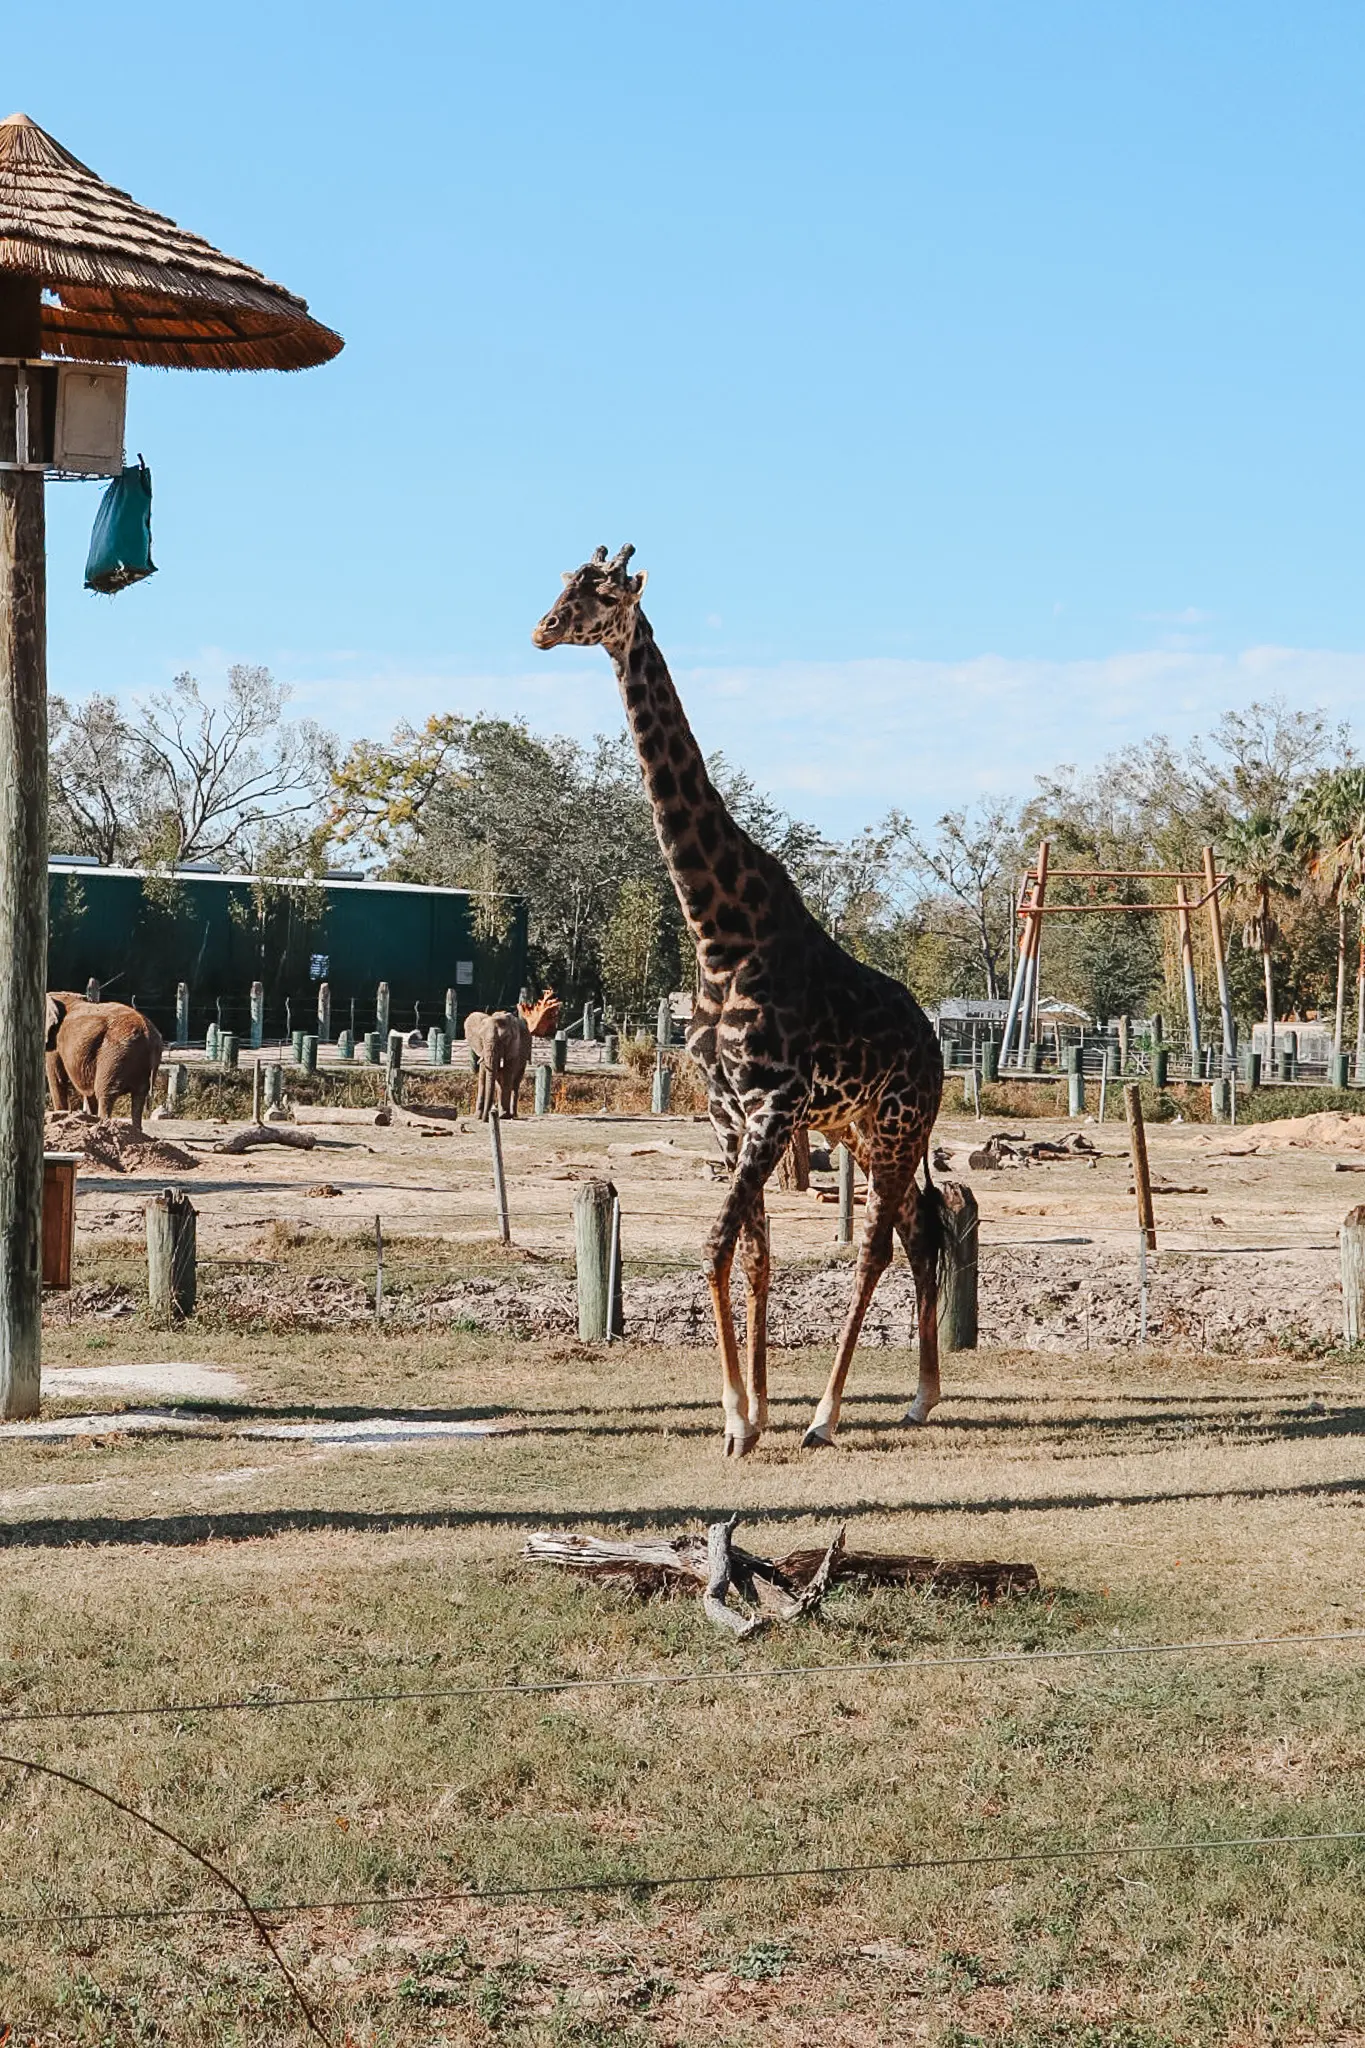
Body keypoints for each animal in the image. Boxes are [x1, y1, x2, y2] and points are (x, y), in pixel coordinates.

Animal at [533, 546, 945, 1456]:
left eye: (600, 594)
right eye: (563, 584)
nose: (540, 629)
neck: (720, 933)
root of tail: (938, 1046)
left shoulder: (771, 1105)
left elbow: (716, 1243)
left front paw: (736, 1420)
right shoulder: (725, 1111)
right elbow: (753, 1252)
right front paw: (752, 1409)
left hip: (898, 1126)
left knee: (876, 1250)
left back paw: (827, 1416)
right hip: (865, 1131)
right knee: (923, 1231)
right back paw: (919, 1397)